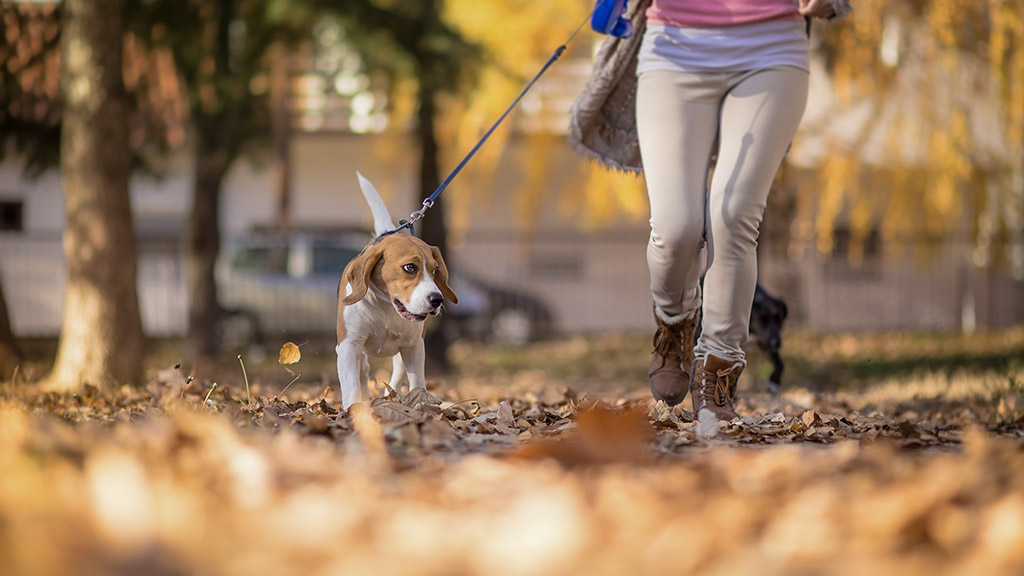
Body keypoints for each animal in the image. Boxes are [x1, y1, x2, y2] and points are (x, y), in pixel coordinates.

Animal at [333, 171, 458, 407]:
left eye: (435, 270)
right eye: (410, 267)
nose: (437, 299)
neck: (386, 309)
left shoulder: (414, 347)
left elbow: (417, 384)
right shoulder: (348, 346)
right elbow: (352, 387)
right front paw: (355, 409)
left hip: (403, 352)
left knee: (396, 376)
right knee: (363, 372)